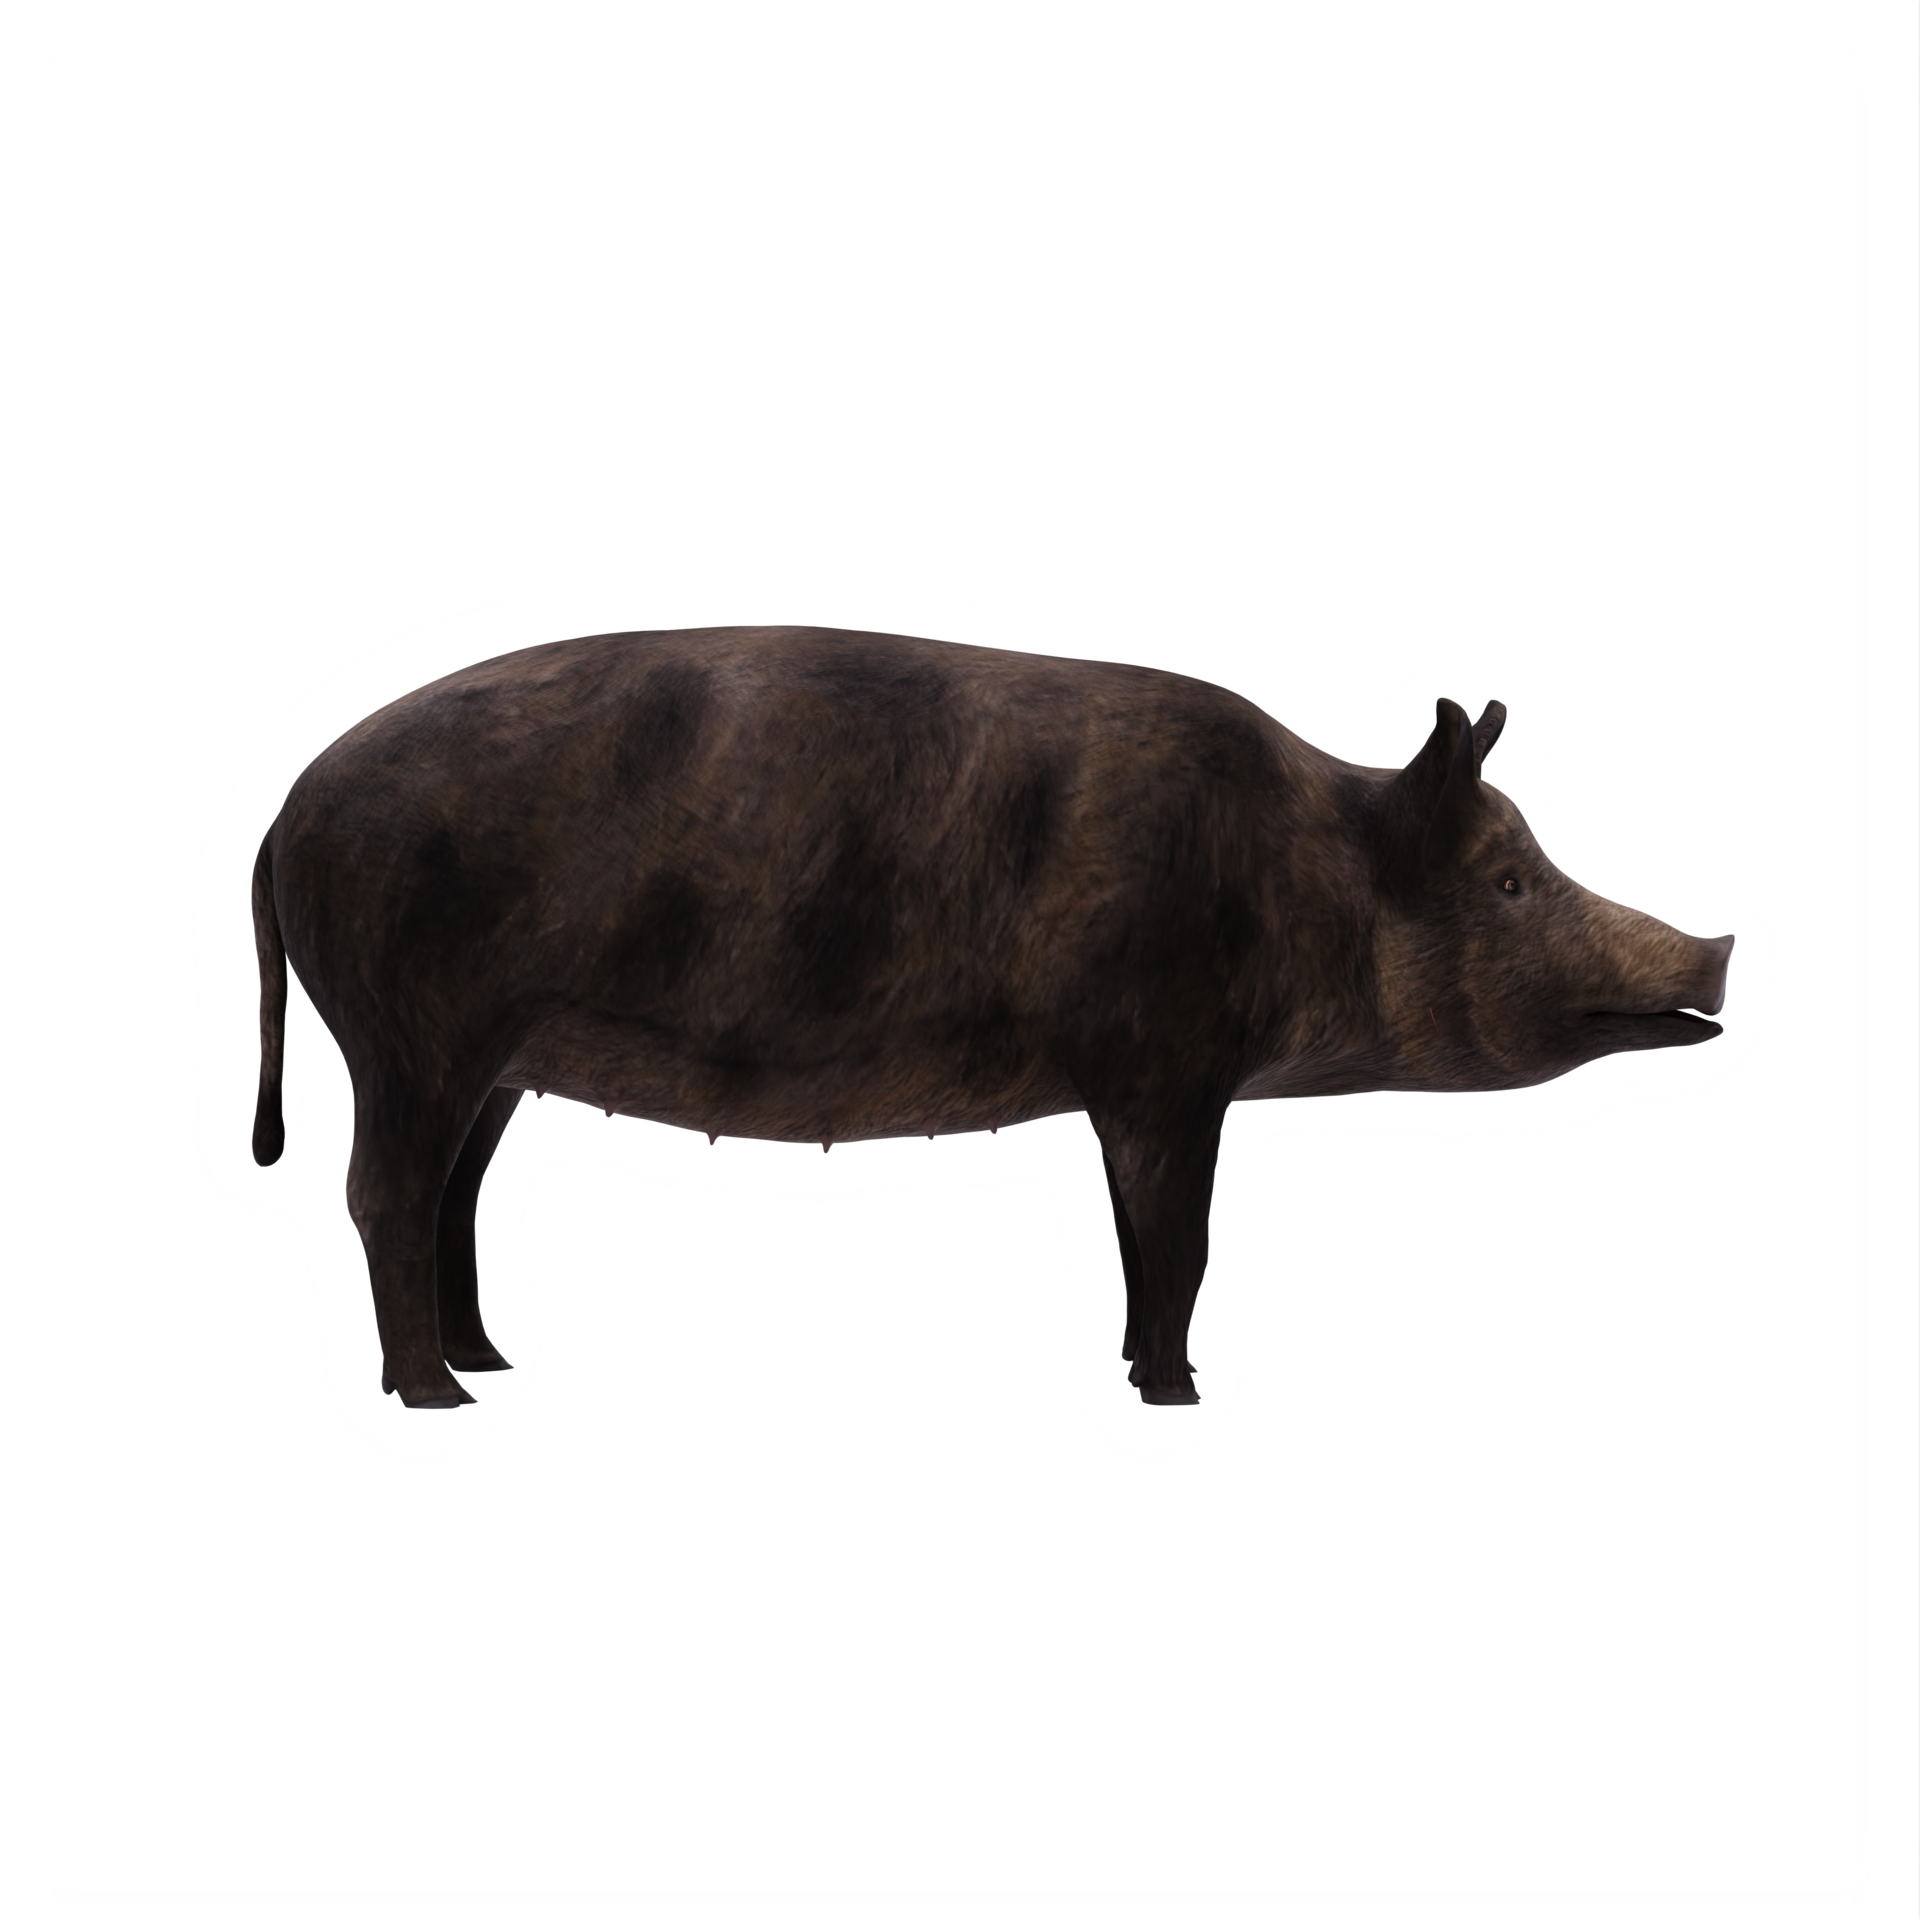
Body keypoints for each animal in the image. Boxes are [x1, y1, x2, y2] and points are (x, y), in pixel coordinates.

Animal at [249, 624, 1735, 1411]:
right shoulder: (1166, 1064)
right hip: (404, 1026)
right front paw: (1178, 1393)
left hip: (496, 1059)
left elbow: (1144, 1236)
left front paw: (1147, 1378)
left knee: (454, 1195)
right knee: (382, 1193)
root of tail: (283, 814)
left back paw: (493, 1362)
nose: (1722, 948)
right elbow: (1175, 1238)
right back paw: (436, 1396)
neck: (1305, 866)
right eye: (1509, 878)